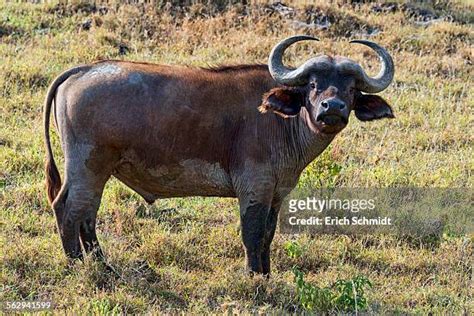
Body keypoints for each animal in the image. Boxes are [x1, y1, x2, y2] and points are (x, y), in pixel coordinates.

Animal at [44, 35, 394, 274]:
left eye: (351, 88)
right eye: (312, 85)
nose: (332, 108)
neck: (281, 121)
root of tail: (84, 70)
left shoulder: (276, 194)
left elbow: (268, 235)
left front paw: (266, 275)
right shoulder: (254, 188)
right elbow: (252, 233)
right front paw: (254, 277)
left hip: (97, 171)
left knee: (87, 214)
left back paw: (103, 265)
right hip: (87, 166)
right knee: (68, 208)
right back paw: (77, 264)